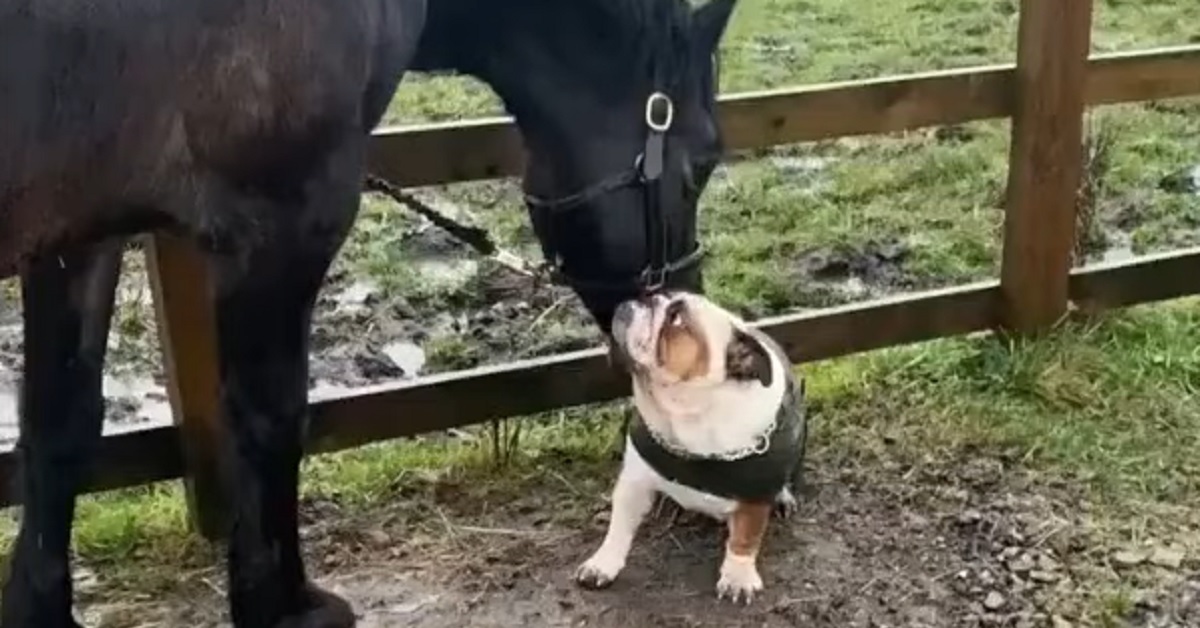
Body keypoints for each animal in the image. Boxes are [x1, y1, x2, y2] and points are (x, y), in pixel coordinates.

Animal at [0, 0, 734, 624]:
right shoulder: (280, 225)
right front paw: (281, 606)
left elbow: (60, 427)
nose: (688, 302)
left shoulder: (78, 236)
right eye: (703, 161)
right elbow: (270, 419)